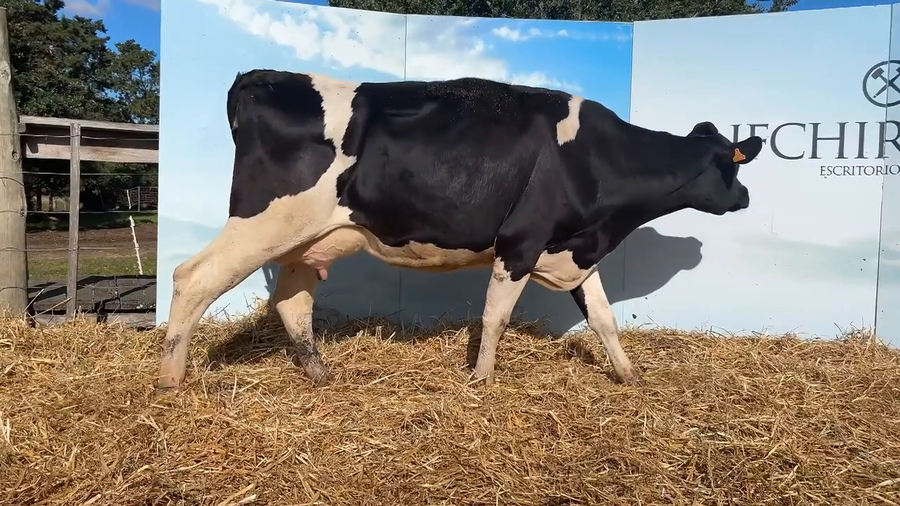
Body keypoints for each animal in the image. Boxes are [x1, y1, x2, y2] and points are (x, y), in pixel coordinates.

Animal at [155, 69, 763, 390]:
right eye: (731, 165)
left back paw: (321, 376)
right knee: (192, 277)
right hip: (260, 223)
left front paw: (630, 377)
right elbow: (494, 318)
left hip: (309, 239)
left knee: (291, 302)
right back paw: (169, 381)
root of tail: (259, 78)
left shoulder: (573, 249)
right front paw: (483, 380)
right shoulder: (521, 242)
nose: (746, 197)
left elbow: (605, 320)